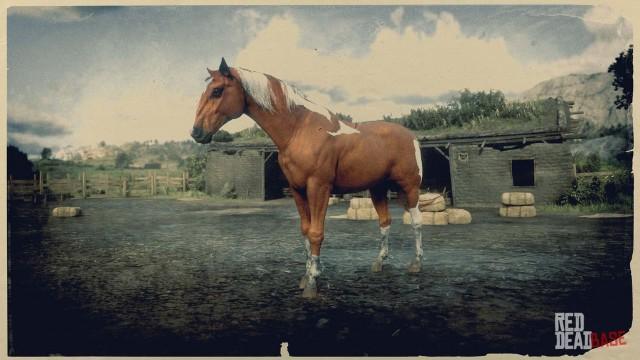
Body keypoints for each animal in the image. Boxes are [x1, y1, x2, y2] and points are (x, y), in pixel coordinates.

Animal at [191, 57, 424, 296]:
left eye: (217, 91)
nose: (196, 132)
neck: (299, 130)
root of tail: (410, 136)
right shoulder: (297, 189)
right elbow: (305, 230)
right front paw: (307, 275)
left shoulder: (318, 187)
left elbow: (316, 232)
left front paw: (312, 282)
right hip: (377, 188)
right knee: (385, 222)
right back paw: (379, 263)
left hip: (410, 187)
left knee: (416, 220)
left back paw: (415, 264)